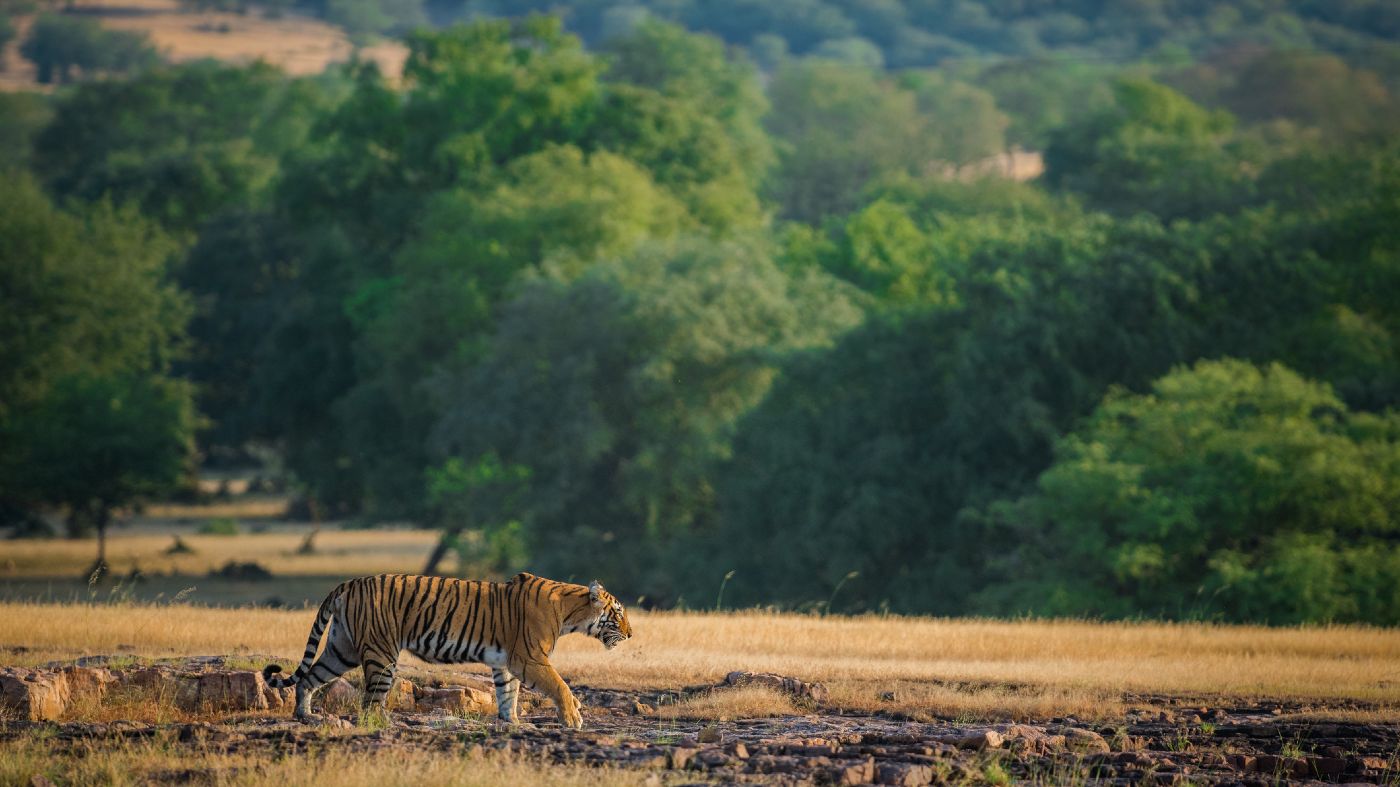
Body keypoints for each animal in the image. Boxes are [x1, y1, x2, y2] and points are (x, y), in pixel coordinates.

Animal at [263, 565, 635, 728]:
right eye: (618, 613)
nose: (631, 635)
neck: (571, 612)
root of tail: (347, 583)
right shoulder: (530, 659)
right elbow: (560, 686)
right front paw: (573, 718)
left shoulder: (506, 662)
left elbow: (508, 694)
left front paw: (512, 722)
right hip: (382, 654)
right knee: (369, 703)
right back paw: (386, 724)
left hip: (342, 649)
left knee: (309, 678)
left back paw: (306, 715)